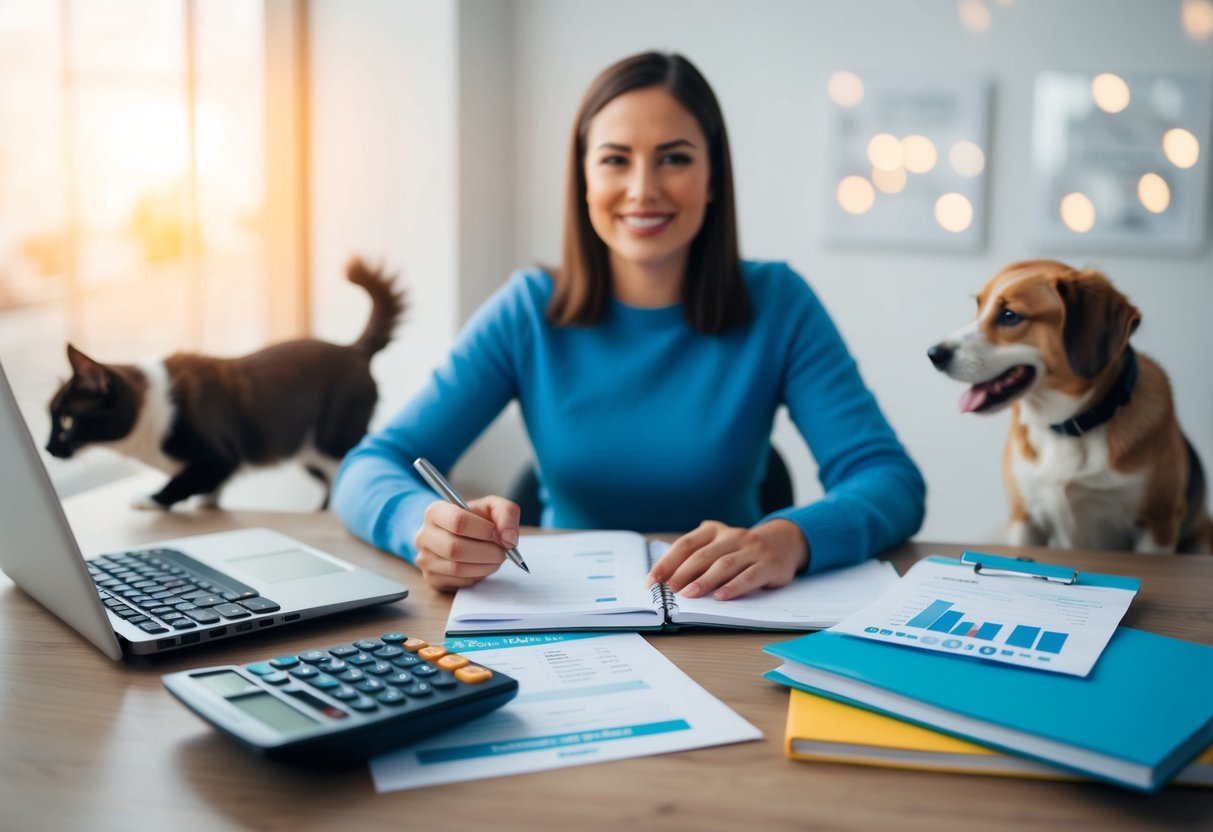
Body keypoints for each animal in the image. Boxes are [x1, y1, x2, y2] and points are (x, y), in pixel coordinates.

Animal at [44, 257, 405, 511]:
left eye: (67, 420)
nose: (48, 448)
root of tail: (353, 349)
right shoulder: (212, 472)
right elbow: (206, 492)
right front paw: (207, 508)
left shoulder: (218, 457)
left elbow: (183, 481)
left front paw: (149, 499)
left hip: (334, 438)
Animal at [926, 260, 1203, 557]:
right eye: (978, 306)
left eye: (1010, 316)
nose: (933, 354)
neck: (1067, 425)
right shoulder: (1025, 518)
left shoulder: (1158, 523)